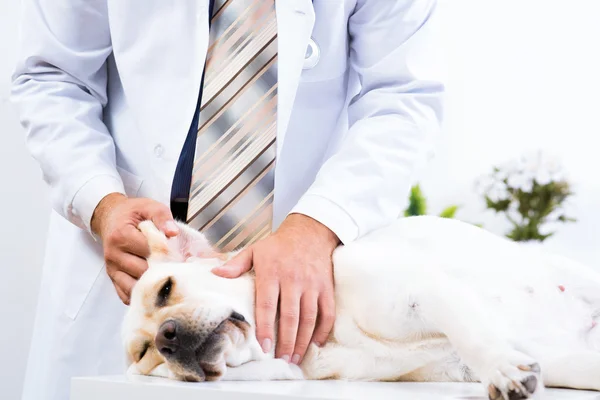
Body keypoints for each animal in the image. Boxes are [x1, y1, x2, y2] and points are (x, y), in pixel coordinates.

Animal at [123, 217, 600, 398]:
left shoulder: (423, 291)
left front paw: (502, 370)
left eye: (166, 290)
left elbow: (473, 335)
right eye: (145, 356)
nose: (167, 338)